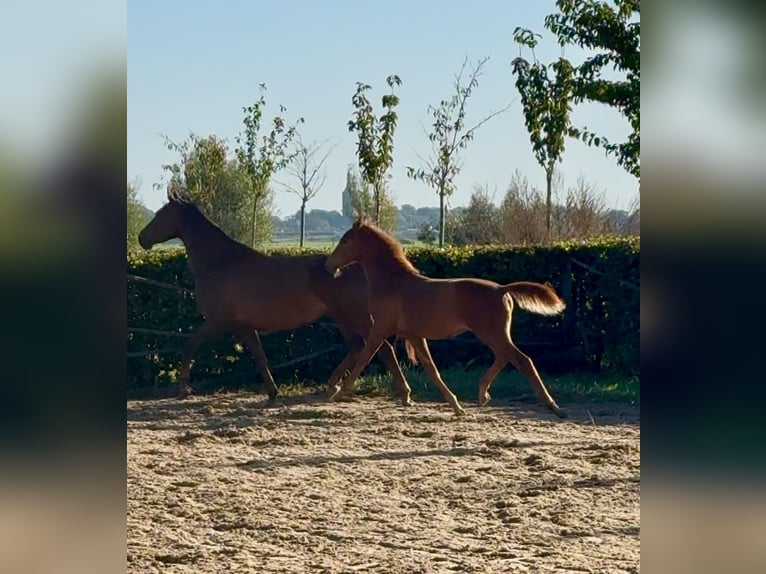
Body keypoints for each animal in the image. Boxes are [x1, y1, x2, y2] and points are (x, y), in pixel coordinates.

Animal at [138, 194, 414, 404]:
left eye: (161, 214)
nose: (142, 238)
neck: (221, 262)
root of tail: (356, 266)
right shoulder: (244, 327)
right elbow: (260, 356)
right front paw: (272, 392)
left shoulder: (217, 321)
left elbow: (190, 345)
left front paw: (183, 387)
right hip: (341, 315)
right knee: (357, 346)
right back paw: (332, 387)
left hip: (357, 315)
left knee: (380, 347)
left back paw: (402, 393)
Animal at [326, 216, 568, 418]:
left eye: (346, 240)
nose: (330, 265)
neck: (393, 283)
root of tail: (501, 289)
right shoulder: (414, 335)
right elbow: (431, 369)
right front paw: (456, 405)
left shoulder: (380, 329)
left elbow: (364, 358)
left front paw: (337, 393)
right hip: (495, 335)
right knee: (504, 356)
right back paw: (483, 393)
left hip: (491, 333)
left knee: (522, 360)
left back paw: (554, 407)